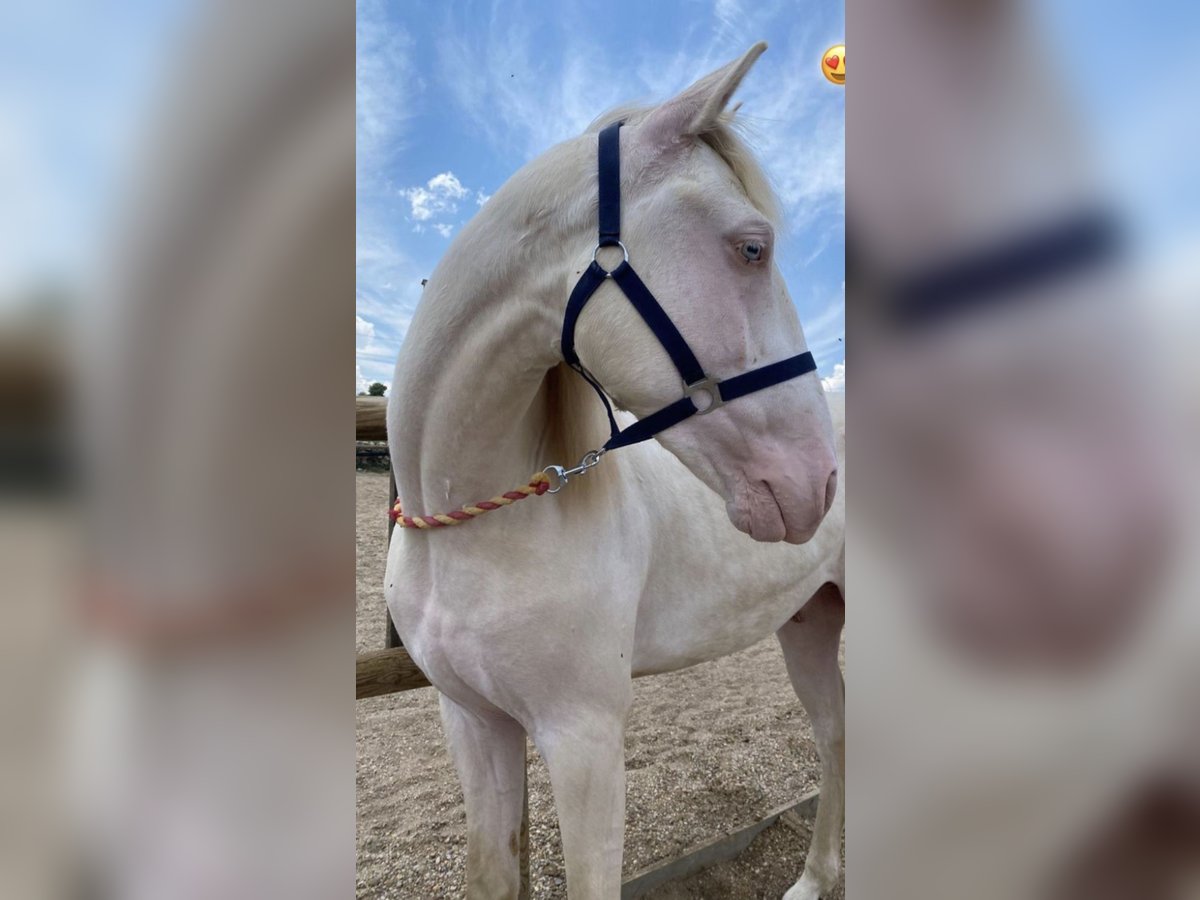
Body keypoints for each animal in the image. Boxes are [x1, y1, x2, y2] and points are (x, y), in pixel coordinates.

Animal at [386, 44, 844, 900]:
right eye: (752, 247)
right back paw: (815, 877)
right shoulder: (473, 723)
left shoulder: (584, 739)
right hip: (808, 620)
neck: (475, 532)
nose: (817, 484)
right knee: (835, 730)